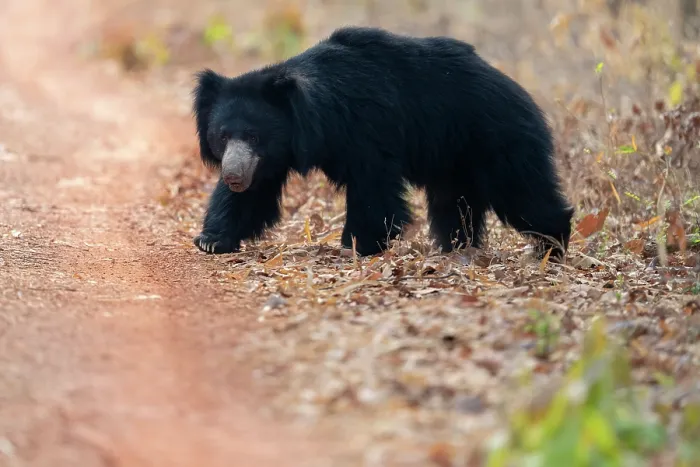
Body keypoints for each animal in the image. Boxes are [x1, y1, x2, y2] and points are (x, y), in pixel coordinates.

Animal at [192, 26, 575, 261]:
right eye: (222, 136)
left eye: (254, 135)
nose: (233, 175)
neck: (320, 117)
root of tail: (523, 94)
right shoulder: (271, 157)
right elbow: (254, 194)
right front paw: (211, 240)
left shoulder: (368, 130)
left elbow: (373, 188)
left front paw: (358, 244)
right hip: (454, 158)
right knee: (453, 204)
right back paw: (454, 248)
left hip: (496, 139)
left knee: (522, 192)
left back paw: (551, 246)